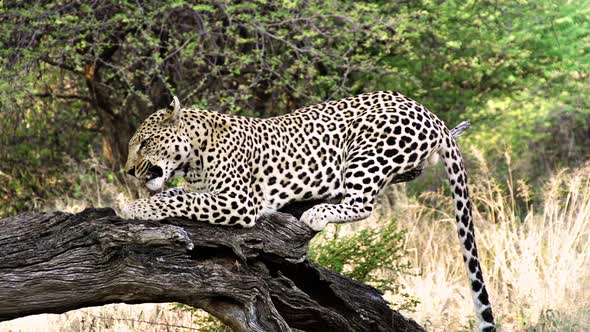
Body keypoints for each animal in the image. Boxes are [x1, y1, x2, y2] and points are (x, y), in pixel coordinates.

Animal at [122, 91, 498, 332]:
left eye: (144, 142)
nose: (128, 171)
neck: (195, 154)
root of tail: (428, 111)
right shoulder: (202, 189)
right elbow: (177, 194)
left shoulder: (238, 199)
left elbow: (176, 200)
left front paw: (134, 207)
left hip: (366, 152)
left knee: (362, 203)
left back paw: (316, 213)